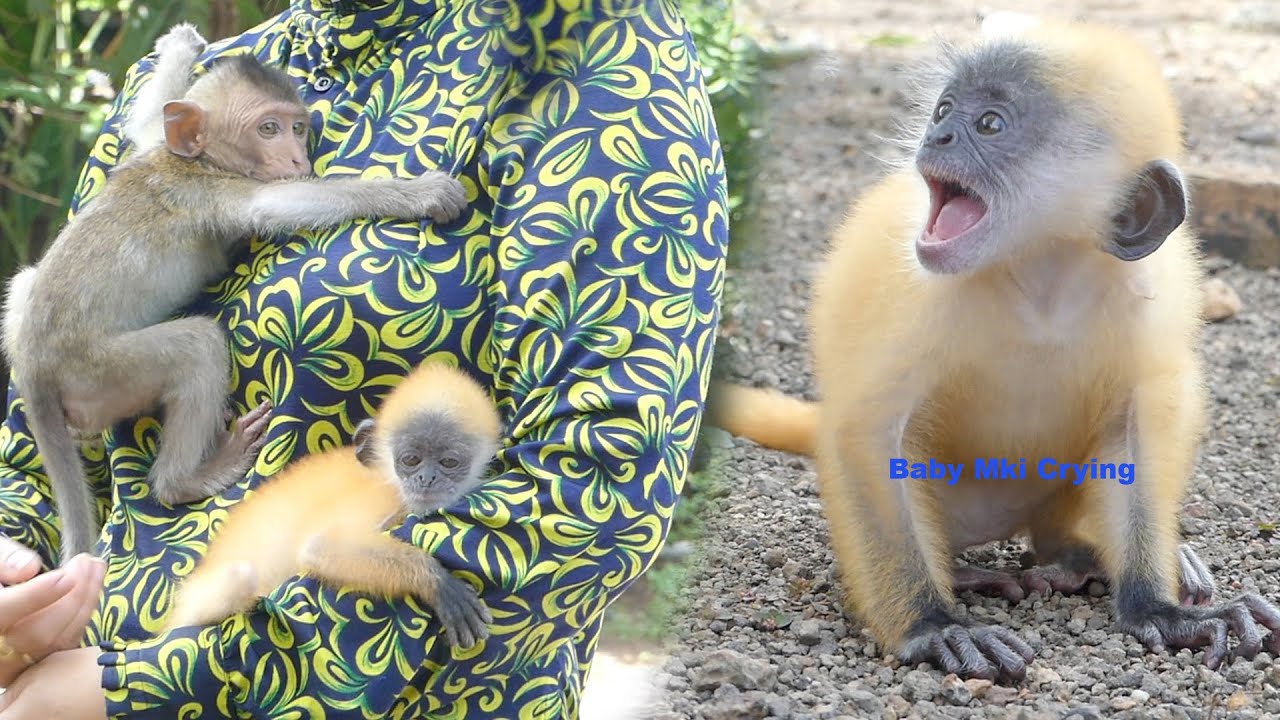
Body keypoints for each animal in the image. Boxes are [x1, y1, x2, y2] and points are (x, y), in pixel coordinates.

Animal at [0, 26, 470, 566]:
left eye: (298, 127)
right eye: (268, 128)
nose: (298, 157)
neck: (195, 157)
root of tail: (34, 367)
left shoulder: (160, 146)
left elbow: (143, 122)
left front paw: (180, 47)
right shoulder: (213, 190)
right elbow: (276, 205)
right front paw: (420, 192)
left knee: (26, 280)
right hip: (99, 371)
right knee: (197, 347)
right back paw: (185, 479)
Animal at [161, 361, 500, 649]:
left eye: (449, 462)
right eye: (411, 459)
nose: (427, 478)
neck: (388, 480)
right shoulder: (383, 501)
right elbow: (320, 547)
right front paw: (436, 581)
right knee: (240, 577)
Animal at [708, 16, 1280, 682]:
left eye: (989, 125)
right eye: (944, 109)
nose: (937, 134)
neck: (1038, 280)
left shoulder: (1149, 291)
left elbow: (1139, 426)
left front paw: (1157, 608)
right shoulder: (918, 296)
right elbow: (868, 434)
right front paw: (931, 627)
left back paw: (1083, 557)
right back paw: (972, 576)